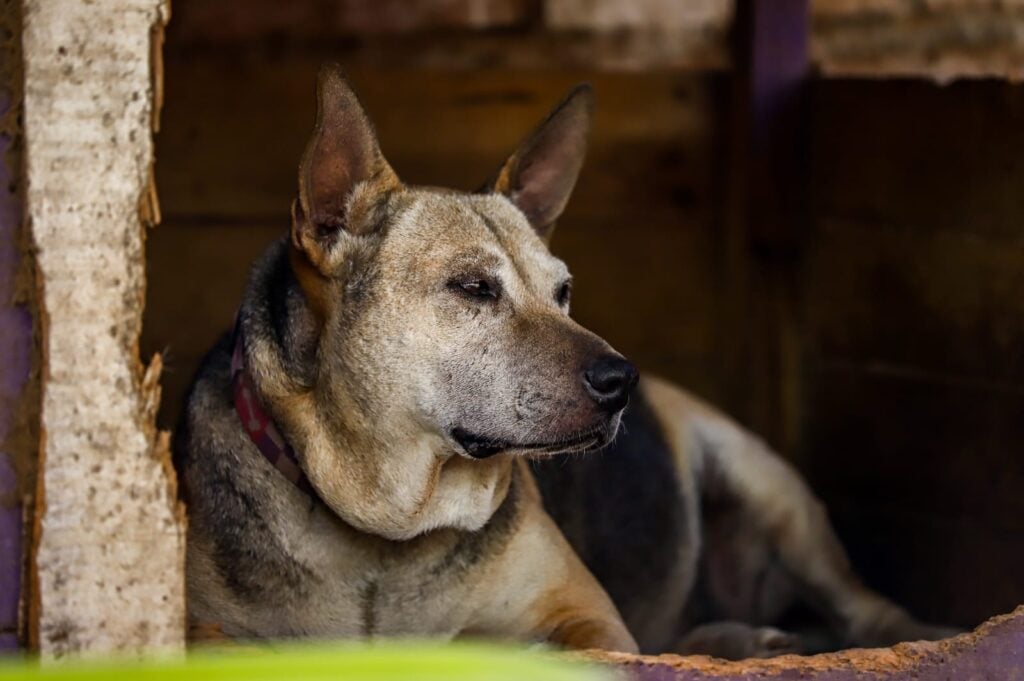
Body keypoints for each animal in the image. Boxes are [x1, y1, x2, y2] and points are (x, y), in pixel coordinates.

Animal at [176, 66, 950, 655]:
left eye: (563, 292)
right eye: (473, 288)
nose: (621, 381)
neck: (387, 529)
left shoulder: (586, 616)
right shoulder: (203, 632)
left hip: (766, 485)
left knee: (862, 610)